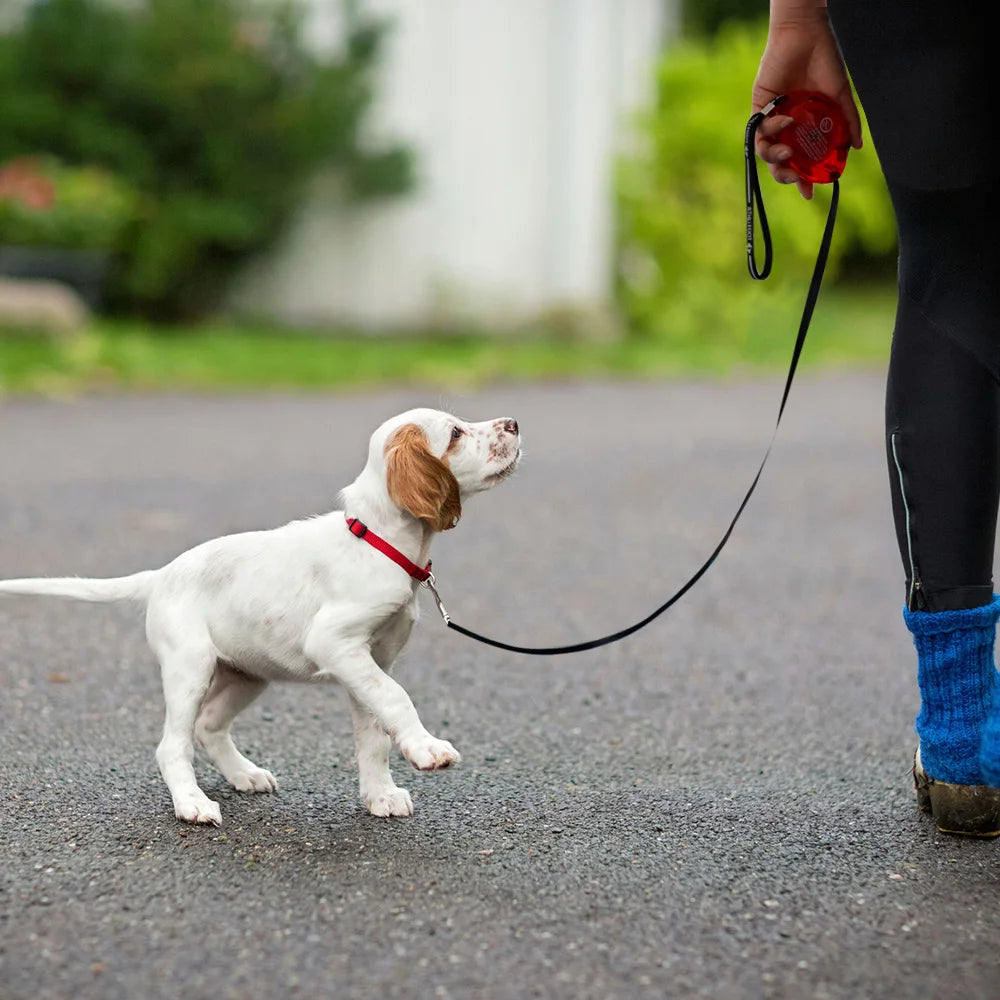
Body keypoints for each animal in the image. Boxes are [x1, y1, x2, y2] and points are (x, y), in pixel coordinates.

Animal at [0, 406, 520, 820]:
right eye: (455, 433)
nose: (514, 423)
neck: (378, 541)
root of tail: (161, 574)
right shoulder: (336, 643)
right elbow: (397, 699)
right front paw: (428, 749)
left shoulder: (370, 662)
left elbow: (374, 733)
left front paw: (381, 795)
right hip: (190, 667)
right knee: (173, 744)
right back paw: (192, 804)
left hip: (247, 673)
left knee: (209, 726)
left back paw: (244, 775)